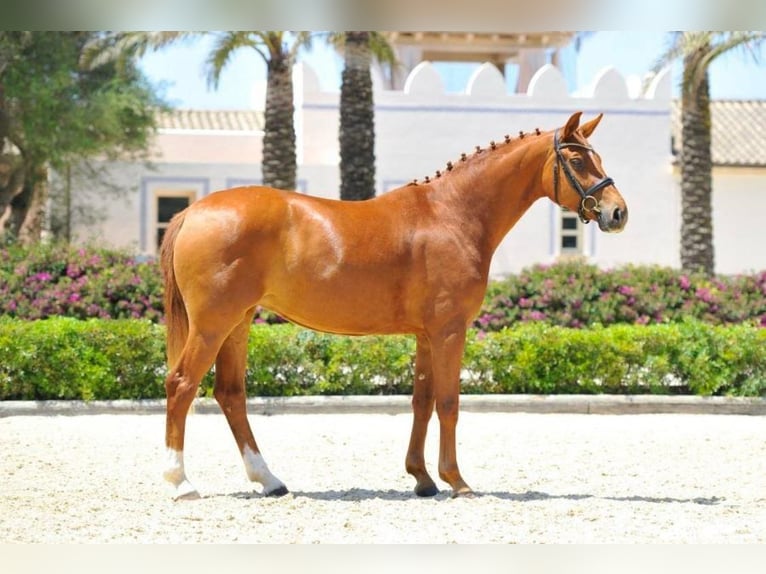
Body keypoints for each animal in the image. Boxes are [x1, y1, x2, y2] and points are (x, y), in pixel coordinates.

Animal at [159, 111, 628, 500]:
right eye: (578, 160)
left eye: (599, 157)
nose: (617, 213)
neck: (452, 214)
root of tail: (194, 211)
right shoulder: (449, 331)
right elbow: (448, 402)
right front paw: (457, 481)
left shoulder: (426, 334)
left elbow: (422, 401)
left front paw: (422, 478)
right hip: (212, 325)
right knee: (181, 385)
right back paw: (180, 483)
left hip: (238, 323)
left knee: (230, 394)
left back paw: (269, 480)